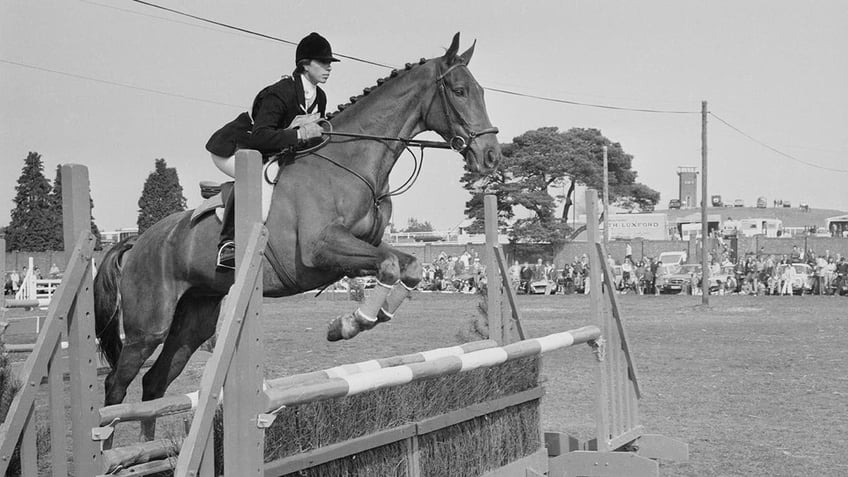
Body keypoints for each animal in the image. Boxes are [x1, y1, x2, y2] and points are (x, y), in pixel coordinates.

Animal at [93, 33, 504, 438]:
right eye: (459, 90)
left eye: (482, 91)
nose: (491, 157)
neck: (351, 163)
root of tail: (138, 241)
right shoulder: (319, 252)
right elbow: (388, 266)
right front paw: (348, 324)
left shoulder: (361, 249)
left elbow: (410, 266)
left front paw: (372, 315)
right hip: (149, 327)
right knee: (116, 386)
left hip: (195, 318)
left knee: (154, 384)